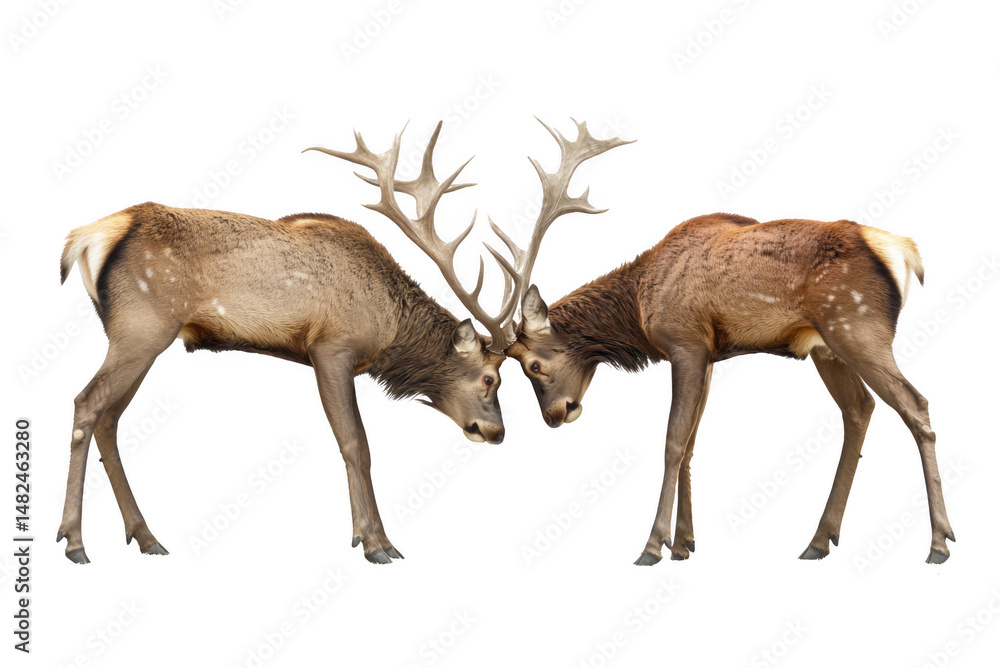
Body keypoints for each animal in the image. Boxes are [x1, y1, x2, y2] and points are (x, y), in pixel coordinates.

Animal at [57, 122, 534, 566]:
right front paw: (376, 544)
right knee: (86, 403)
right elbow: (356, 444)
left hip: (137, 336)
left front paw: (373, 538)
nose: (496, 432)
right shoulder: (332, 347)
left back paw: (147, 538)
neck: (387, 326)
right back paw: (75, 542)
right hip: (142, 328)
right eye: (491, 379)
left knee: (110, 418)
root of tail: (87, 236)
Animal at [503, 211, 956, 566]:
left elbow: (672, 441)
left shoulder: (685, 344)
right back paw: (818, 540)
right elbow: (690, 443)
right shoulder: (708, 356)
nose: (554, 415)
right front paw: (683, 544)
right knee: (860, 408)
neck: (640, 308)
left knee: (915, 403)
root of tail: (902, 249)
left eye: (533, 365)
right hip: (827, 347)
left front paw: (652, 546)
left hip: (857, 327)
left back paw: (939, 543)